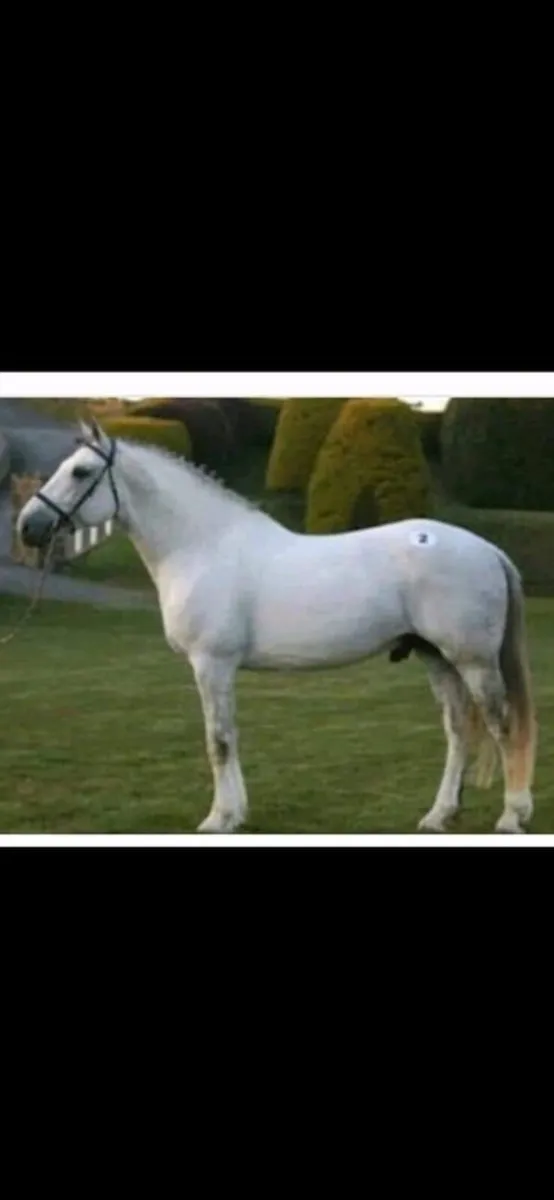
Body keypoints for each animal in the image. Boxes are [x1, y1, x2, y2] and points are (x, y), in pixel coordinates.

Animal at [16, 416, 537, 835]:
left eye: (81, 472)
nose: (28, 526)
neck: (203, 546)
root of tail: (488, 549)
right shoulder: (219, 670)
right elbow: (229, 736)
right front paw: (236, 813)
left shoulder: (212, 664)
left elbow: (218, 741)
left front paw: (217, 819)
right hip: (437, 658)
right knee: (458, 731)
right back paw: (439, 815)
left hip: (473, 661)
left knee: (503, 727)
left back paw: (511, 817)